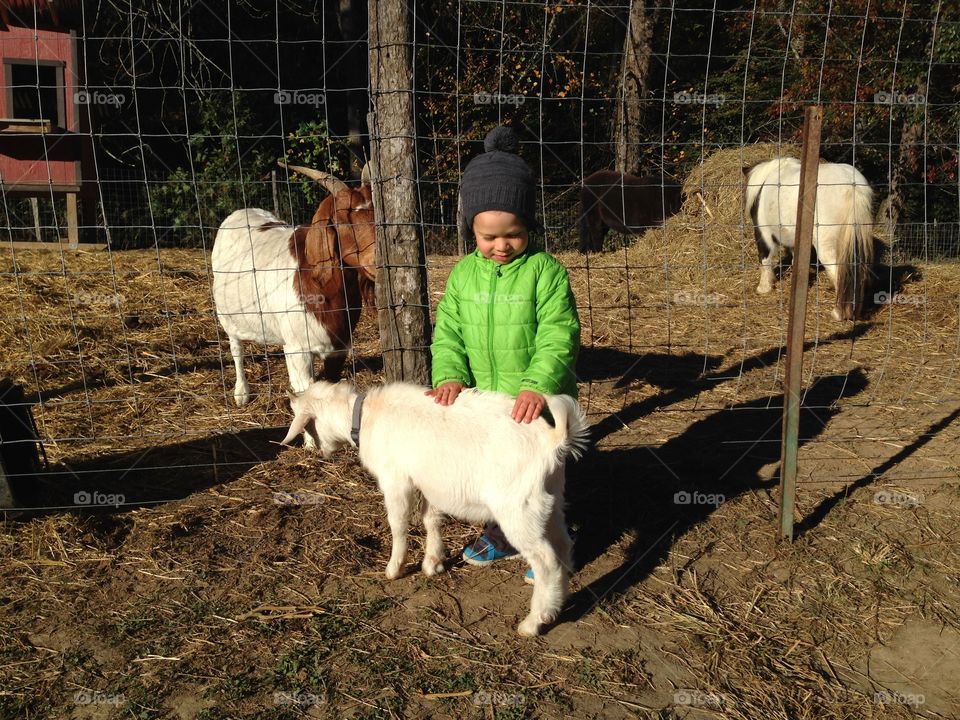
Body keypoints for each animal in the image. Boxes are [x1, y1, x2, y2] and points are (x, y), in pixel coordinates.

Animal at [282, 382, 588, 636]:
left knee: (546, 561)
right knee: (563, 544)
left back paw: (534, 622)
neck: (367, 417)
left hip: (518, 510)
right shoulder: (427, 484)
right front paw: (433, 562)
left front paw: (394, 568)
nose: (318, 451)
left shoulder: (396, 481)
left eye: (308, 427)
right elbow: (431, 519)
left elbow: (398, 524)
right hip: (550, 500)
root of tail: (553, 441)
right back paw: (558, 600)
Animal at [748, 159, 872, 320]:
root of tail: (852, 186)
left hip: (826, 247)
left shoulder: (764, 234)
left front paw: (764, 288)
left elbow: (765, 259)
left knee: (838, 273)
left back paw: (838, 313)